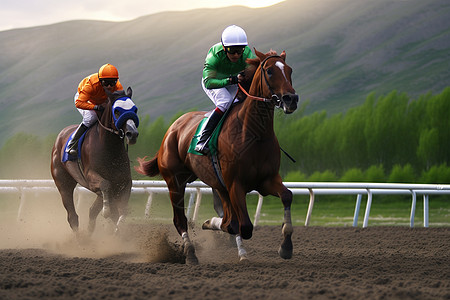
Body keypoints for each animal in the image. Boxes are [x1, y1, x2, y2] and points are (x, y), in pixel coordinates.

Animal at [51, 86, 139, 234]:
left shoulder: (123, 182)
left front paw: (119, 229)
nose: (132, 134)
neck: (109, 149)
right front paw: (107, 211)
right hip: (63, 183)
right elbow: (105, 185)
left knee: (92, 210)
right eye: (117, 111)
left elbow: (122, 210)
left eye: (135, 109)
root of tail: (60, 136)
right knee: (72, 216)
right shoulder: (92, 177)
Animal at [137, 50, 298, 264]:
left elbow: (286, 196)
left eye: (289, 70)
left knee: (228, 217)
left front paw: (286, 247)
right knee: (181, 220)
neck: (254, 134)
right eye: (270, 71)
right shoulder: (235, 184)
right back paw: (191, 253)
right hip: (175, 182)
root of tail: (172, 128)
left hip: (215, 184)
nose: (291, 99)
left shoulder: (266, 180)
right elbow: (243, 226)